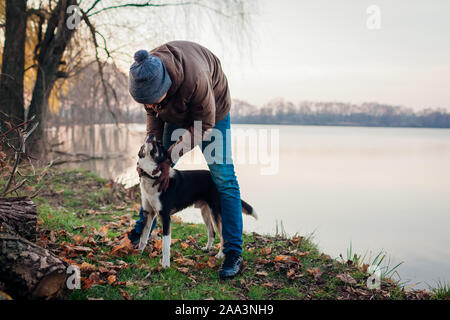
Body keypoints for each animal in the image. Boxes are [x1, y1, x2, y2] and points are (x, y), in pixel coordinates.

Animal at [136, 134, 256, 268]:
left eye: (159, 144)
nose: (151, 134)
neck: (152, 177)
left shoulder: (165, 216)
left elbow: (165, 244)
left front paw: (166, 265)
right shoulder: (148, 212)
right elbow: (143, 236)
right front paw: (138, 253)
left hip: (215, 212)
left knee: (222, 235)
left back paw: (220, 255)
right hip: (205, 211)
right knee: (212, 232)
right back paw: (207, 248)